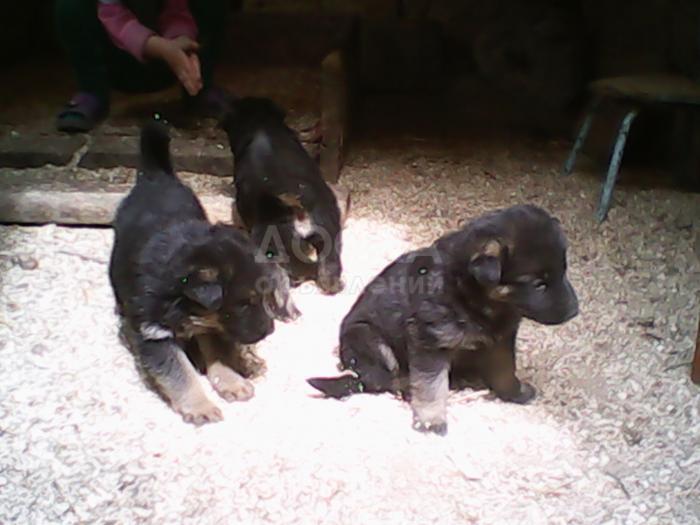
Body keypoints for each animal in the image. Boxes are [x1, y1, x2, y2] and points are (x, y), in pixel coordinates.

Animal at [109, 120, 299, 425]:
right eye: (243, 304)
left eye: (262, 298)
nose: (269, 331)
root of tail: (155, 176)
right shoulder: (154, 335)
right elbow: (179, 374)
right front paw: (200, 407)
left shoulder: (213, 325)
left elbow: (219, 355)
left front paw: (231, 382)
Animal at [221, 97, 350, 294]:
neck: (261, 123)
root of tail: (296, 204)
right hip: (329, 224)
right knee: (329, 261)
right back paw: (334, 286)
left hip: (277, 238)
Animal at [307, 205, 579, 435]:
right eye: (539, 284)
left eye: (563, 272)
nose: (575, 311)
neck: (472, 294)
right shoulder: (430, 340)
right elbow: (430, 386)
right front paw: (431, 421)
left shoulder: (502, 339)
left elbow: (505, 370)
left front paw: (515, 392)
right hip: (366, 336)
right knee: (384, 380)